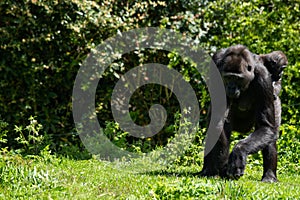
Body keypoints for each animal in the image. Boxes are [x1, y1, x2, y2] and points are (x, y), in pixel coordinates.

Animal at [200, 44, 288, 182]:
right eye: (228, 77)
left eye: (237, 78)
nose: (230, 87)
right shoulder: (216, 62)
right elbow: (218, 120)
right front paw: (222, 166)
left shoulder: (263, 77)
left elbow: (266, 127)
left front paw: (238, 152)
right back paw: (208, 170)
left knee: (270, 133)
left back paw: (269, 177)